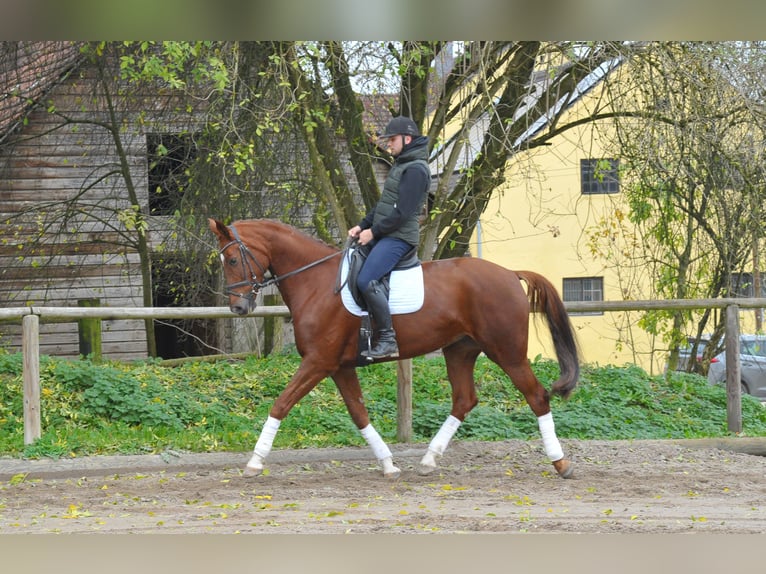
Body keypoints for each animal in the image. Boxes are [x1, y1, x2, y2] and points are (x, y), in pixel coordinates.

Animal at [207, 218, 580, 480]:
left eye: (232, 260)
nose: (238, 308)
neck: (316, 283)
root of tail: (509, 273)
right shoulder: (339, 366)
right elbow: (359, 413)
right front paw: (388, 464)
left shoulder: (318, 362)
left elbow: (280, 404)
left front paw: (254, 462)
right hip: (460, 350)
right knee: (464, 400)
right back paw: (428, 460)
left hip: (507, 352)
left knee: (536, 396)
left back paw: (561, 463)